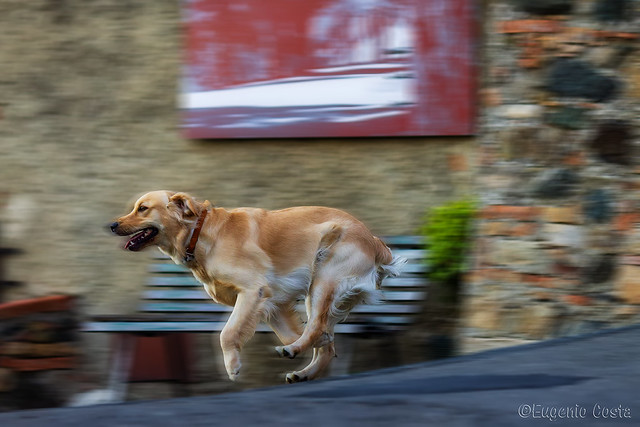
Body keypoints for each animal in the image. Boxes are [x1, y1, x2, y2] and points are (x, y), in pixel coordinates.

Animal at [107, 192, 402, 382]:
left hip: (323, 279)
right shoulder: (273, 303)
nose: (111, 224)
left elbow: (227, 334)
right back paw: (303, 371)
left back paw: (295, 353)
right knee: (322, 338)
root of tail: (375, 241)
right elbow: (301, 334)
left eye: (143, 208)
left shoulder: (253, 291)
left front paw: (232, 366)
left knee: (317, 327)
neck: (200, 233)